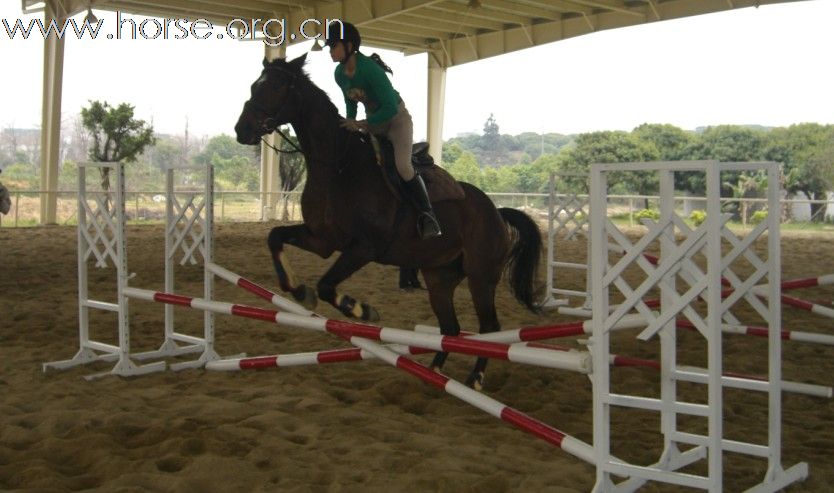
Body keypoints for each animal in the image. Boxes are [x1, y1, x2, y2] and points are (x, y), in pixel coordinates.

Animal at [234, 54, 544, 388]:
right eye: (253, 86)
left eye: (276, 87)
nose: (241, 129)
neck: (338, 166)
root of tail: (496, 212)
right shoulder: (322, 240)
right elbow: (275, 237)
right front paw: (299, 290)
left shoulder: (363, 248)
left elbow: (327, 285)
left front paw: (361, 310)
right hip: (439, 277)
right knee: (450, 328)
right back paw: (435, 372)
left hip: (481, 277)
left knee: (488, 327)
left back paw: (474, 378)